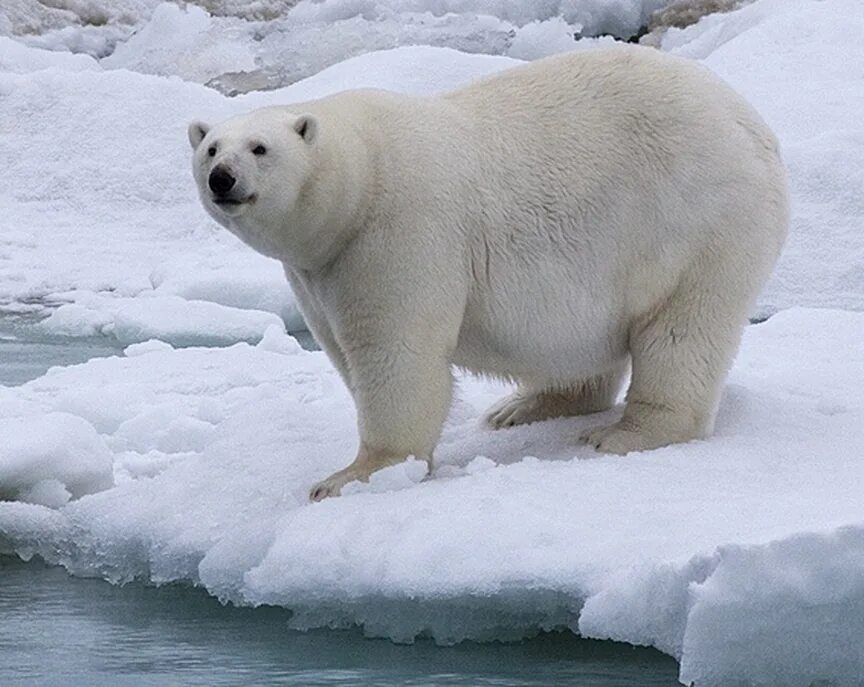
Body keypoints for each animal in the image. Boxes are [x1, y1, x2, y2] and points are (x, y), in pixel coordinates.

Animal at [189, 45, 788, 502]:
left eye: (260, 148)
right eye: (211, 148)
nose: (223, 178)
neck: (361, 176)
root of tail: (755, 127)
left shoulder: (399, 232)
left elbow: (396, 354)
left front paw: (352, 476)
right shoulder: (318, 270)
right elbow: (343, 349)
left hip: (694, 222)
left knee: (681, 330)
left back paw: (625, 434)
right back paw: (524, 406)